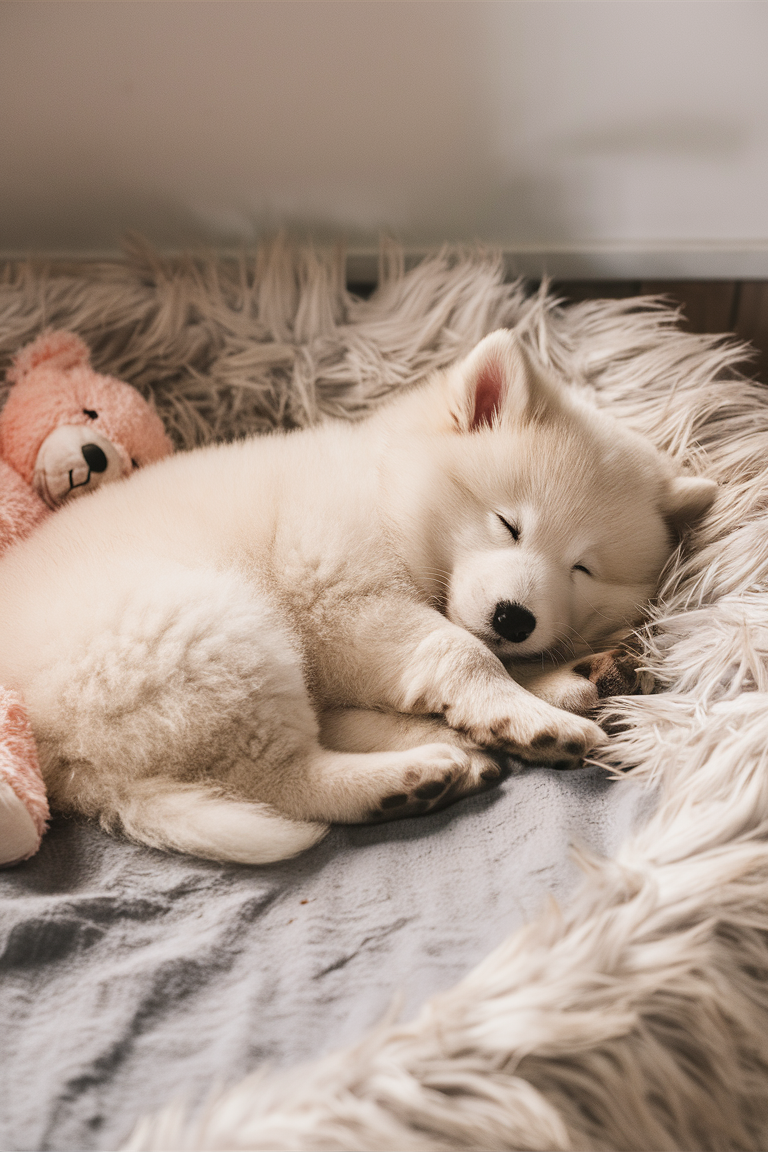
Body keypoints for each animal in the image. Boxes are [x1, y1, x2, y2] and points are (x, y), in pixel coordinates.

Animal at [0, 329, 713, 861]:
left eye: (581, 569)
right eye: (509, 523)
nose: (515, 618)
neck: (388, 493)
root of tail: (66, 764)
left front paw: (551, 684)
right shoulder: (345, 600)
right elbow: (459, 650)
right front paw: (524, 715)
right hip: (215, 632)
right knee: (280, 778)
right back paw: (411, 779)